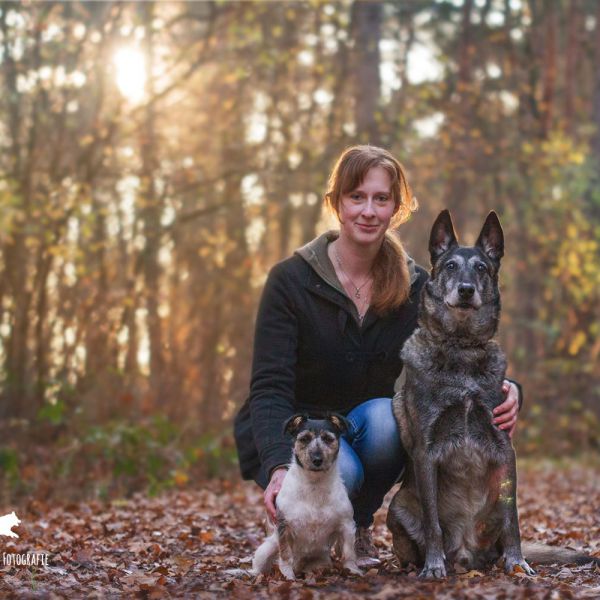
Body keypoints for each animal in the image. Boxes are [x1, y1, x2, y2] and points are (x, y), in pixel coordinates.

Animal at [386, 209, 532, 580]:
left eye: (481, 267)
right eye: (451, 265)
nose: (466, 290)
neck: (461, 349)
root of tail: (466, 553)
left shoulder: (504, 449)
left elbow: (513, 519)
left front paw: (517, 561)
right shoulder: (426, 451)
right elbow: (433, 523)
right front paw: (433, 565)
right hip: (398, 507)